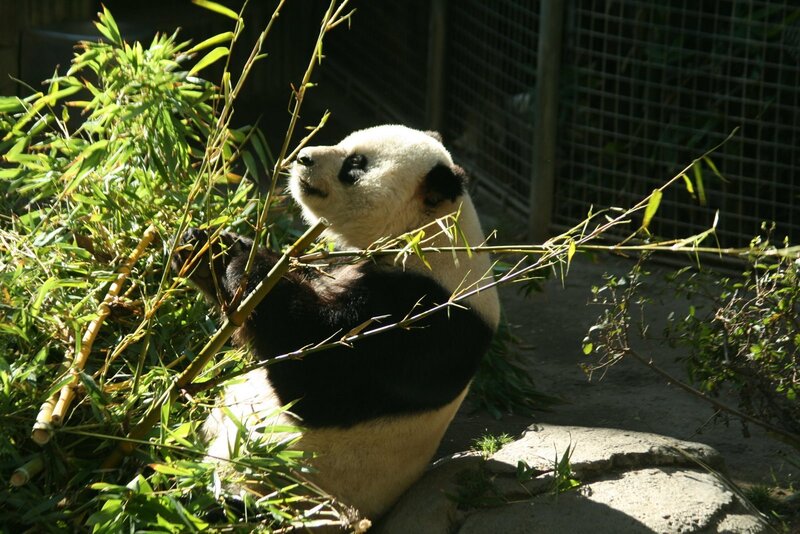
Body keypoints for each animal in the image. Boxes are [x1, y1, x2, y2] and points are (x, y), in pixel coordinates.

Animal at [174, 124, 501, 522]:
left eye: (355, 164)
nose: (303, 157)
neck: (430, 238)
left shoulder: (424, 319)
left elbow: (314, 372)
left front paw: (248, 266)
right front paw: (205, 248)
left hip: (274, 492)